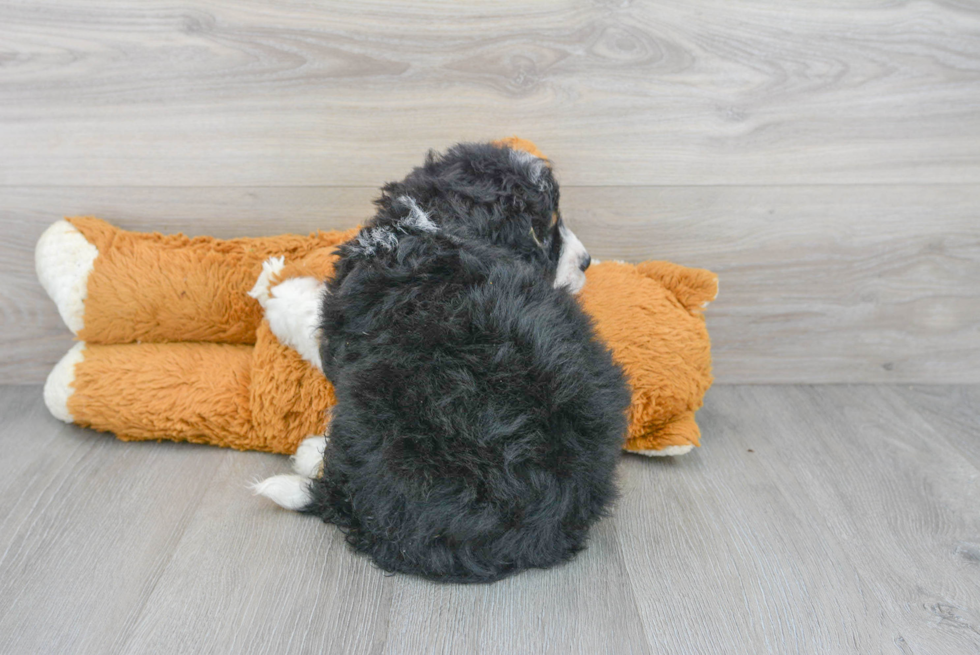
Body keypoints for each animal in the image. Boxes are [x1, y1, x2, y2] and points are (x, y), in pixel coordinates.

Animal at [253, 145, 632, 584]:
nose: (587, 261)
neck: (438, 224)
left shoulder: (340, 324)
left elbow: (307, 318)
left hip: (378, 406)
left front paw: (278, 292)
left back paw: (310, 454)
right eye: (541, 232)